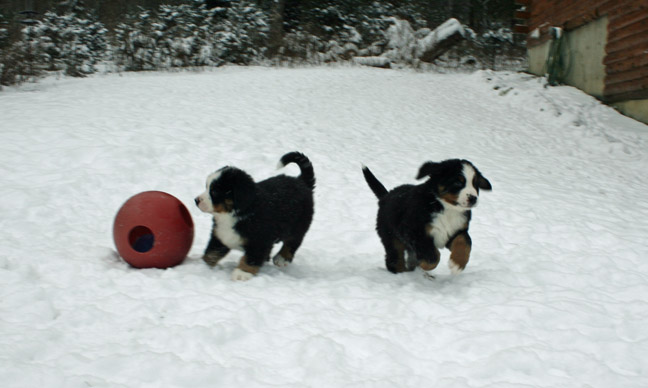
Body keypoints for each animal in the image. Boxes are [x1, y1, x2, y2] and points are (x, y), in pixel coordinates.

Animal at [194, 150, 316, 280]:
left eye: (215, 191)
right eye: (207, 187)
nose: (196, 200)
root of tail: (301, 181)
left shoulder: (259, 240)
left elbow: (251, 258)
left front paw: (242, 273)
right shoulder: (220, 236)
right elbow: (211, 252)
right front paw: (201, 265)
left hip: (299, 223)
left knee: (293, 241)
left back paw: (281, 258)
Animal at [360, 159, 492, 274]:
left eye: (475, 184)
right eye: (458, 182)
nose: (473, 198)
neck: (446, 208)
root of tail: (386, 196)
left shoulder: (457, 231)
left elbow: (465, 242)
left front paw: (457, 264)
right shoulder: (414, 231)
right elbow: (432, 256)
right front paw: (425, 264)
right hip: (391, 237)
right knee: (395, 259)